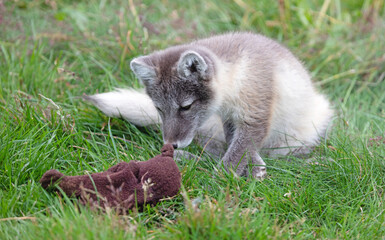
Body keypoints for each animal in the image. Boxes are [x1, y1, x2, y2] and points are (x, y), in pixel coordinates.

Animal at [85, 31, 332, 178]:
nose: (170, 144)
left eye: (185, 106)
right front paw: (249, 169)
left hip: (297, 137)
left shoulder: (256, 113)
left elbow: (239, 150)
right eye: (159, 108)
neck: (237, 74)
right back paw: (185, 160)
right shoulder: (229, 118)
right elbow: (237, 146)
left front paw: (220, 180)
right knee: (213, 150)